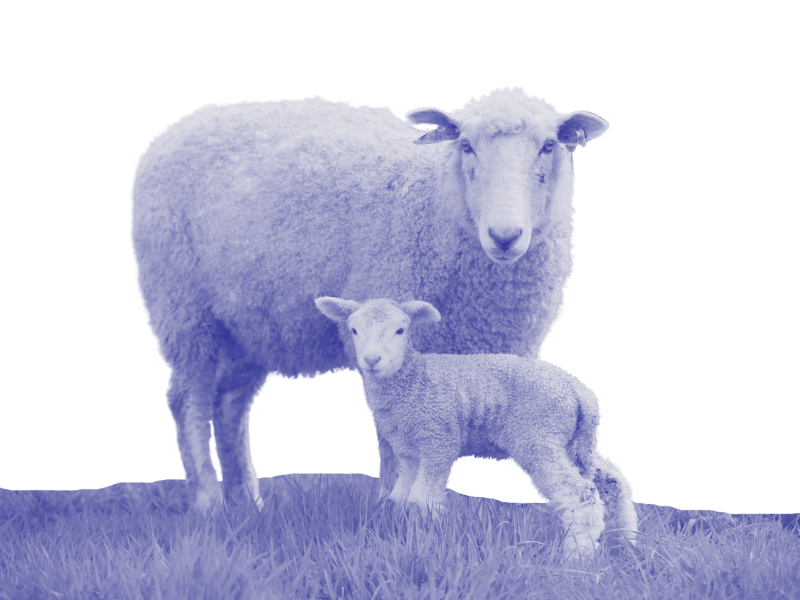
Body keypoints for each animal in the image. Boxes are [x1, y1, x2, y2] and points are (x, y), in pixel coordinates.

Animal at [129, 86, 610, 517]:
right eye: (466, 146)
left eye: (549, 146)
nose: (505, 236)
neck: (436, 204)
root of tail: (175, 132)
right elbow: (399, 442)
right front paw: (390, 508)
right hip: (184, 307)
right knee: (190, 400)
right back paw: (209, 504)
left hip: (250, 326)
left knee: (228, 405)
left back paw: (248, 503)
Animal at [314, 296, 639, 558]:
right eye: (354, 330)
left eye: (400, 330)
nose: (372, 359)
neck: (413, 379)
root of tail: (576, 391)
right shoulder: (409, 449)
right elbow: (400, 498)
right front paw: (403, 536)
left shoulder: (438, 437)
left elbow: (421, 500)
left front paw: (425, 546)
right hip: (573, 443)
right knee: (612, 483)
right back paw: (625, 542)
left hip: (538, 436)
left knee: (581, 496)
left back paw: (576, 558)